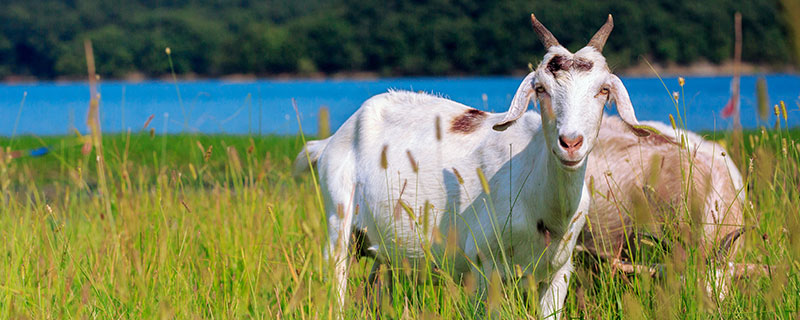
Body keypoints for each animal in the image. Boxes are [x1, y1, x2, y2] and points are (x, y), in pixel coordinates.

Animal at [294, 14, 648, 318]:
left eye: (604, 90)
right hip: (337, 220)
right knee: (337, 279)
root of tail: (331, 141)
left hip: (386, 251)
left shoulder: (559, 270)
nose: (570, 142)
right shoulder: (483, 265)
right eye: (541, 89)